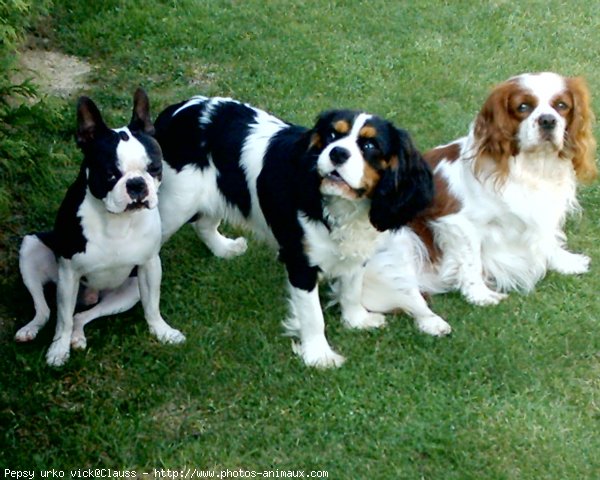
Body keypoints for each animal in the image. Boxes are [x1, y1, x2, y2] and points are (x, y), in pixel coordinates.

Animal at [17, 90, 185, 366]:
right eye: (110, 174)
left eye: (154, 169)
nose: (137, 184)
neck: (117, 220)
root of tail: (90, 296)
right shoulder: (68, 275)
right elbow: (62, 319)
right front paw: (58, 350)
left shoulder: (150, 265)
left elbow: (152, 305)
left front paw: (162, 331)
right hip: (31, 249)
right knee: (46, 310)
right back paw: (32, 330)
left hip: (128, 291)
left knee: (80, 317)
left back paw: (78, 336)